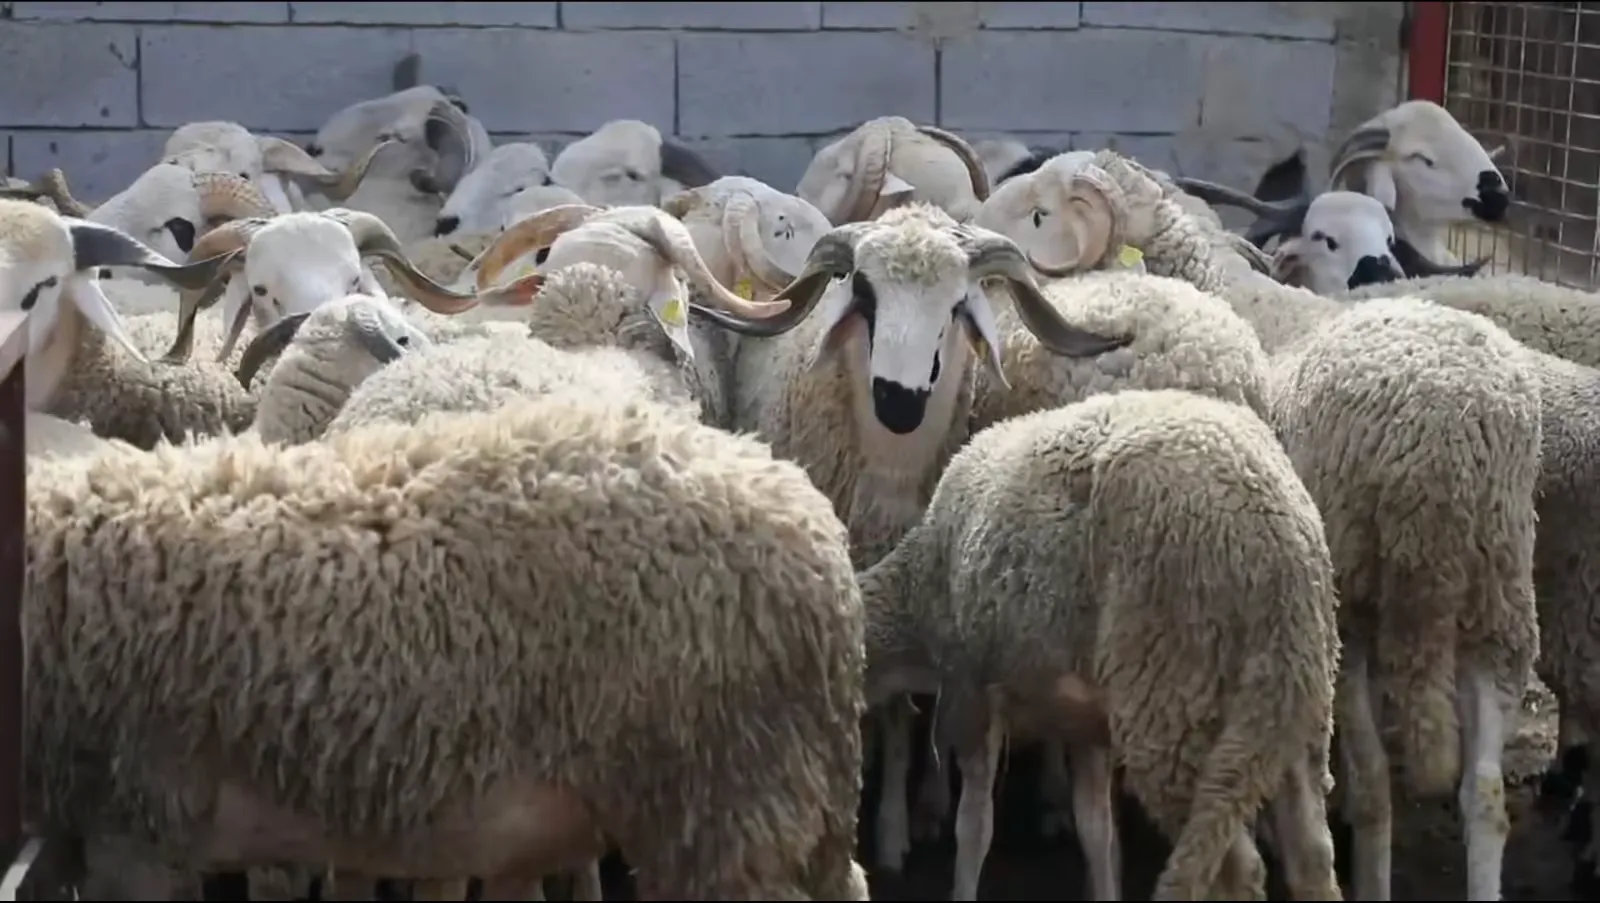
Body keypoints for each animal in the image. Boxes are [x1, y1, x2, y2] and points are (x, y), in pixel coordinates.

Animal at [863, 388, 1341, 901]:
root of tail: (1282, 548)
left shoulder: (973, 689)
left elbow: (974, 826)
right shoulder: (1084, 723)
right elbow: (1096, 831)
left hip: (1174, 700)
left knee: (1234, 868)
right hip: (1290, 706)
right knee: (1312, 854)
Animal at [1021, 149, 1541, 901]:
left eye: (1045, 211)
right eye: (1331, 237)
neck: (1234, 288)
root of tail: (1453, 420)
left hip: (1353, 596)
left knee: (1374, 788)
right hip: (1497, 589)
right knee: (1486, 795)